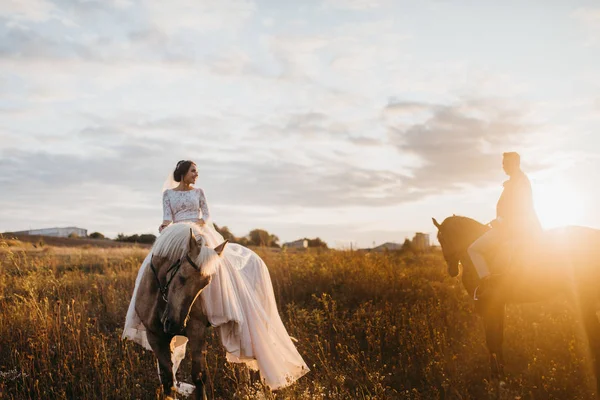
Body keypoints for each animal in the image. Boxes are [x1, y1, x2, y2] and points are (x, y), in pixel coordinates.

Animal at [434, 216, 600, 396]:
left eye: (442, 238)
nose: (452, 270)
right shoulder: (499, 305)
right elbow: (497, 339)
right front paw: (502, 377)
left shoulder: (489, 306)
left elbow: (491, 341)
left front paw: (496, 379)